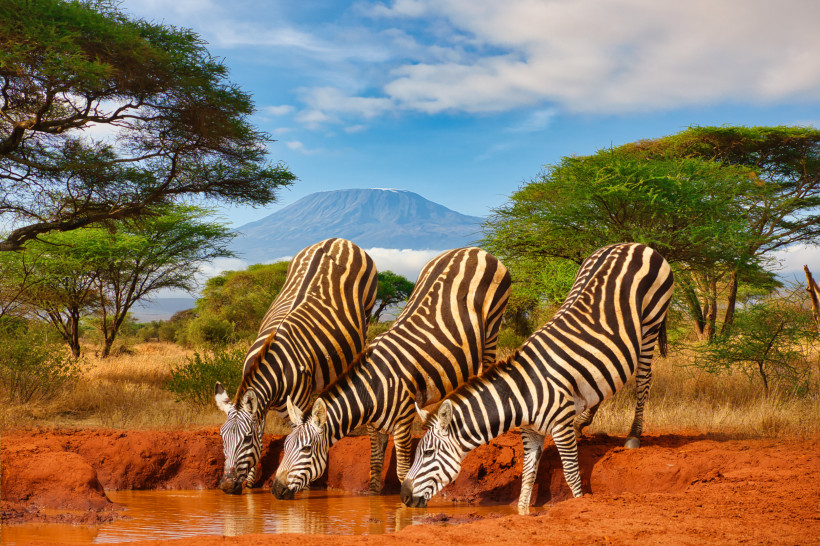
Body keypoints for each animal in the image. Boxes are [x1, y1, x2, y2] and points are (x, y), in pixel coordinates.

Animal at [213, 238, 377, 494]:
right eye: (221, 437)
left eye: (246, 438)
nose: (227, 486)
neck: (274, 367)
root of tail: (338, 240)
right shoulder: (260, 407)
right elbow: (263, 432)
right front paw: (250, 480)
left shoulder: (296, 405)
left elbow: (300, 439)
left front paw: (303, 485)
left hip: (367, 314)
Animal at [270, 247, 512, 499]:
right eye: (285, 446)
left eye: (306, 449)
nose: (276, 490)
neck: (373, 388)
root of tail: (474, 249)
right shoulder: (374, 426)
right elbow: (375, 468)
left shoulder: (404, 422)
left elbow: (402, 472)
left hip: (493, 324)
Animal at [400, 242, 674, 513]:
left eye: (428, 453)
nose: (403, 496)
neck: (523, 394)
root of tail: (634, 244)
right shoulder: (530, 432)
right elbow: (528, 475)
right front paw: (523, 512)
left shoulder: (561, 427)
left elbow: (571, 474)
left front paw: (579, 503)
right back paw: (584, 423)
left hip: (651, 324)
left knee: (643, 380)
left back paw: (633, 436)